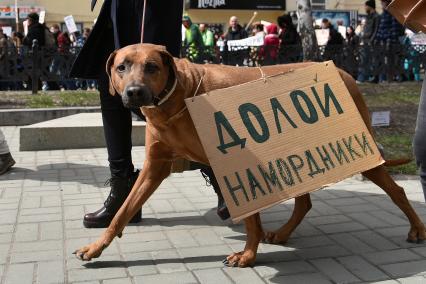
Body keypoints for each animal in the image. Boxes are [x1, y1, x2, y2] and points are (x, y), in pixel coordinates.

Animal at [74, 43, 426, 268]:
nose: (133, 92)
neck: (177, 100)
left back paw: (416, 229)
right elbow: (122, 212)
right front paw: (96, 247)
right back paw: (283, 233)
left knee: (396, 190)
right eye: (121, 67)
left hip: (365, 156)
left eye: (151, 67)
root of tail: (346, 72)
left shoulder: (239, 164)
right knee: (304, 203)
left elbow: (251, 216)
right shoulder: (154, 168)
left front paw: (247, 254)